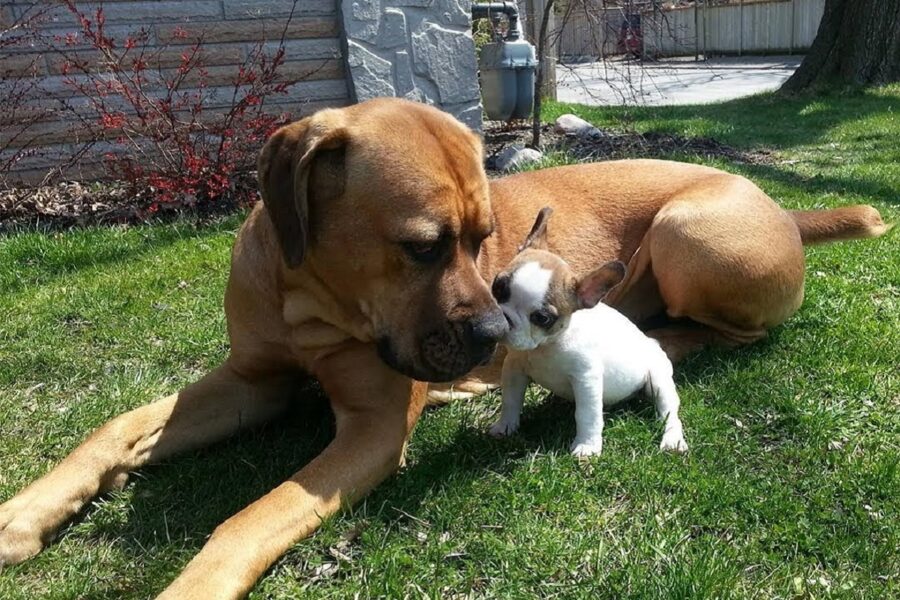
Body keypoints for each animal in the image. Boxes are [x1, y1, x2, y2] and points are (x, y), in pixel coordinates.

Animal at [488, 209, 684, 458]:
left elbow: (587, 415)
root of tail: (651, 342)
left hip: (659, 380)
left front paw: (587, 447)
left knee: (669, 412)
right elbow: (511, 400)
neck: (548, 345)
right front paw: (505, 427)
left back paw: (673, 439)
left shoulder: (586, 379)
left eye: (542, 318)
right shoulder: (515, 369)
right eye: (497, 286)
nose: (505, 318)